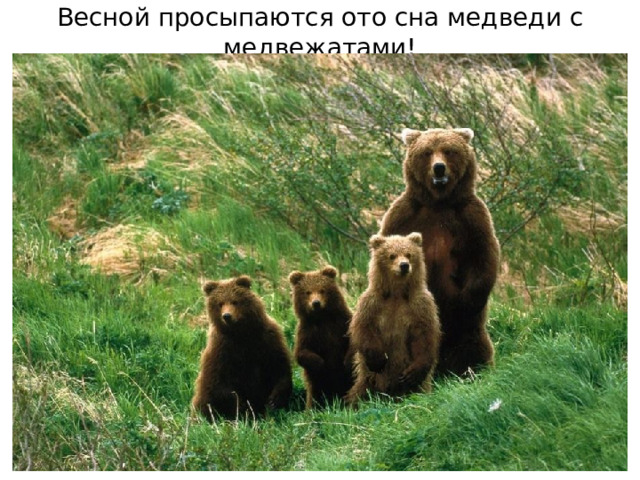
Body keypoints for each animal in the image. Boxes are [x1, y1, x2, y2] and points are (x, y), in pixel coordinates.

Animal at [192, 275, 293, 421]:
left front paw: (275, 399)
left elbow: (279, 365)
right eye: (220, 303)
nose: (227, 316)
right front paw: (243, 406)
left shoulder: (267, 339)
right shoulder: (222, 349)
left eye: (235, 301)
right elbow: (220, 382)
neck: (241, 333)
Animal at [289, 266, 354, 409]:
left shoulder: (342, 323)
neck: (322, 318)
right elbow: (301, 353)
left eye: (322, 290)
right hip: (317, 387)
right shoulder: (307, 332)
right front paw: (320, 363)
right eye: (307, 292)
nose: (316, 303)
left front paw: (346, 361)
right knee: (314, 396)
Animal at [345, 233, 441, 406]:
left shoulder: (420, 306)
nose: (404, 265)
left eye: (409, 254)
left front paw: (412, 373)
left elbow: (424, 335)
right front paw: (378, 359)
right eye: (391, 255)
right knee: (360, 391)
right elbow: (363, 328)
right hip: (368, 379)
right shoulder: (372, 303)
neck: (397, 293)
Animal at [379, 127, 500, 377]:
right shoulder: (403, 215)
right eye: (427, 152)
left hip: (468, 334)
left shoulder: (471, 217)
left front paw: (465, 303)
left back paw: (471, 369)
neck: (439, 202)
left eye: (448, 150)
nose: (439, 168)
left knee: (474, 346)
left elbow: (483, 256)